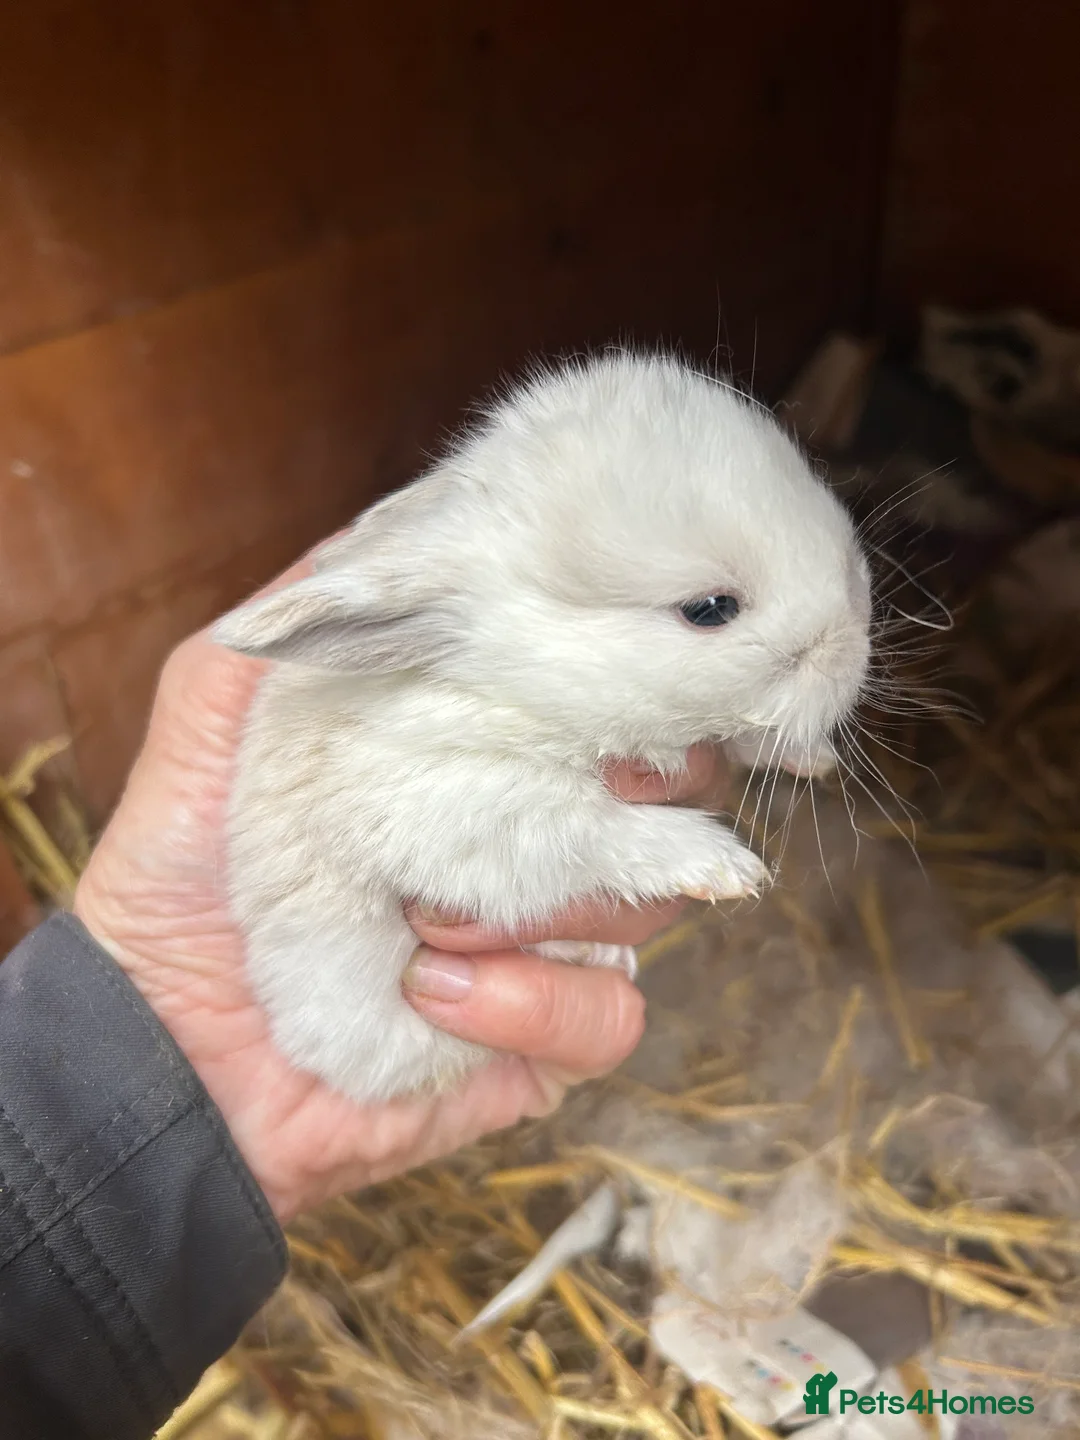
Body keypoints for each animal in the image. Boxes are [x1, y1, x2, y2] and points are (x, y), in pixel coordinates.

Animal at [212, 351, 872, 1103]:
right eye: (710, 609)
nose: (859, 620)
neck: (530, 683)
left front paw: (810, 758)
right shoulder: (471, 811)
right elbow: (598, 833)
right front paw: (725, 867)